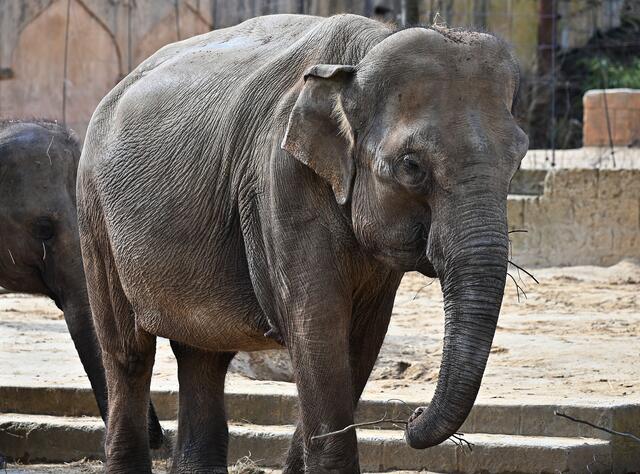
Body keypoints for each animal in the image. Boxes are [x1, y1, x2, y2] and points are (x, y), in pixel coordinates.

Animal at [77, 13, 528, 474]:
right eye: (411, 165)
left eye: (519, 160)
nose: (412, 416)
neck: (361, 57)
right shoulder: (280, 182)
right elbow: (318, 328)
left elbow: (360, 339)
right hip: (94, 212)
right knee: (129, 353)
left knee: (203, 354)